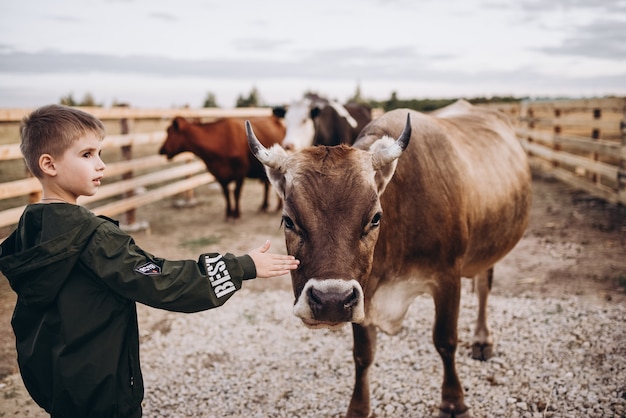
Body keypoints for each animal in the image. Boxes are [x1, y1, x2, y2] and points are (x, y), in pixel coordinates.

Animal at [246, 99, 528, 416]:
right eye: (289, 220)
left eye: (375, 218)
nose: (331, 301)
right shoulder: (363, 292)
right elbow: (363, 354)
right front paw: (359, 407)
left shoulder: (447, 277)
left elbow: (445, 340)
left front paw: (454, 401)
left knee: (483, 287)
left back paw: (482, 339)